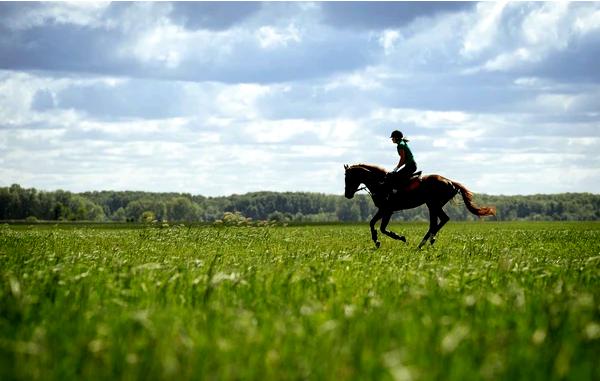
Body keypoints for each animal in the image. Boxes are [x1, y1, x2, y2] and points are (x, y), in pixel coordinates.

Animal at [344, 163, 494, 249]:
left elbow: (381, 228)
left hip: (433, 204)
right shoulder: (383, 210)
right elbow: (372, 223)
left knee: (440, 221)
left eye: (348, 177)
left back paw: (426, 241)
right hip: (433, 205)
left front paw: (399, 237)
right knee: (438, 221)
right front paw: (376, 240)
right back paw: (427, 241)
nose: (347, 195)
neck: (380, 183)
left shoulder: (387, 210)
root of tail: (450, 182)